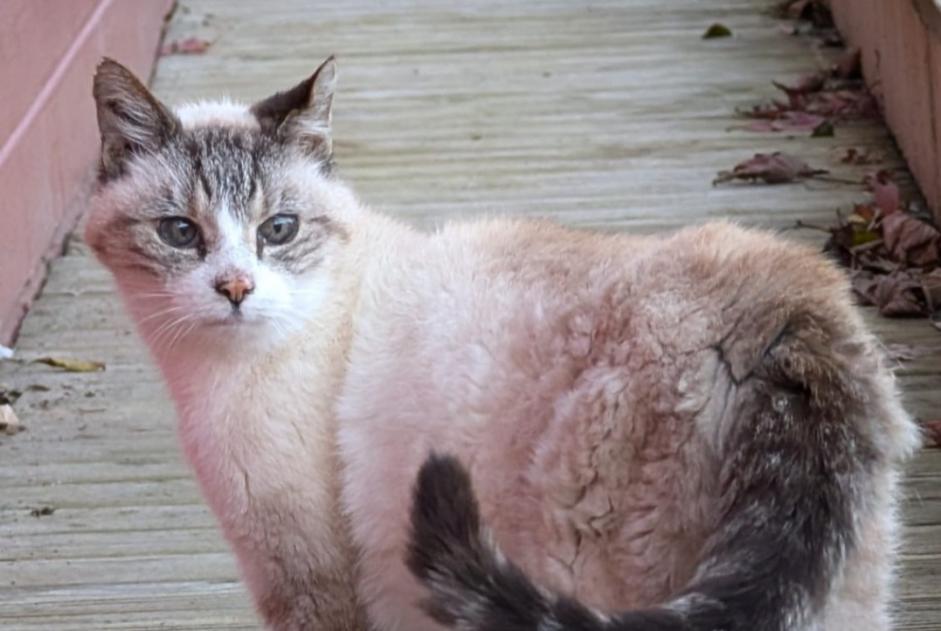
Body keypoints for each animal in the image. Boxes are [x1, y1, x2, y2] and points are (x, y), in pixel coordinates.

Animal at [86, 55, 916, 631]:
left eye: (278, 229)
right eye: (180, 233)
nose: (234, 287)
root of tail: (788, 305)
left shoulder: (312, 583)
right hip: (834, 590)